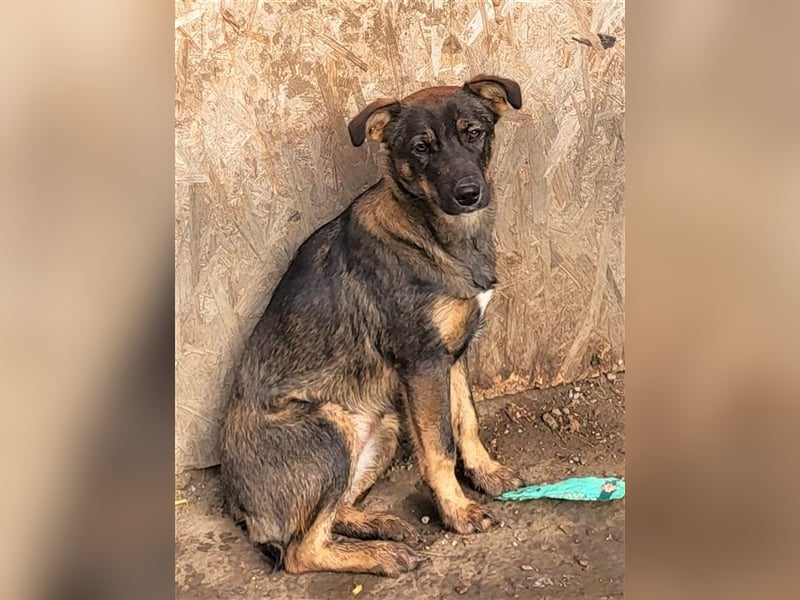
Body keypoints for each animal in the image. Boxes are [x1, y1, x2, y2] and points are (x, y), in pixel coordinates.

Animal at [220, 75, 523, 577]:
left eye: (474, 133)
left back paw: (382, 524)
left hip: (384, 429)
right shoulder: (422, 363)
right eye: (421, 147)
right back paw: (381, 554)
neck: (434, 235)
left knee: (331, 514)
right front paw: (458, 510)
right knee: (301, 550)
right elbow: (439, 447)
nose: (468, 194)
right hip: (329, 427)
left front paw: (486, 472)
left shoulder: (451, 356)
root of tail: (236, 504)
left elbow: (466, 419)